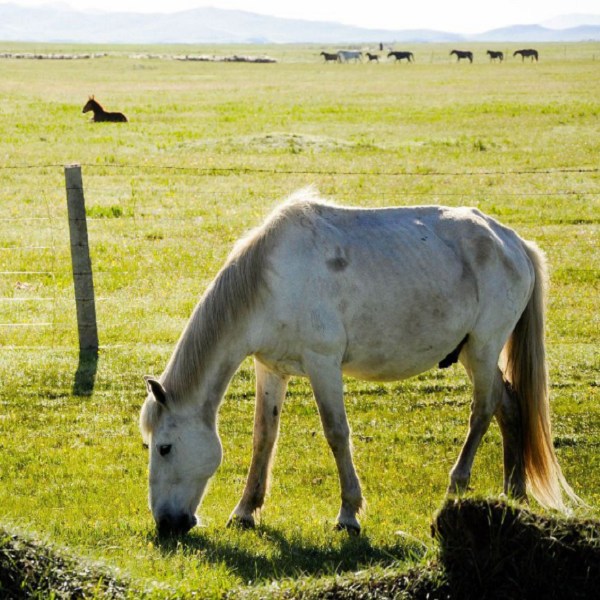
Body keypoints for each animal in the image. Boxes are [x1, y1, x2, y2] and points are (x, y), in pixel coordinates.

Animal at [141, 190, 580, 536]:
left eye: (164, 447)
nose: (166, 523)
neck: (271, 280)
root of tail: (512, 242)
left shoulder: (323, 365)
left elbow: (336, 433)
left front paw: (348, 514)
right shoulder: (271, 369)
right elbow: (264, 437)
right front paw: (245, 511)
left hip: (485, 349)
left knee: (483, 411)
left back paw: (454, 490)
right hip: (475, 354)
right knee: (511, 407)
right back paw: (514, 494)